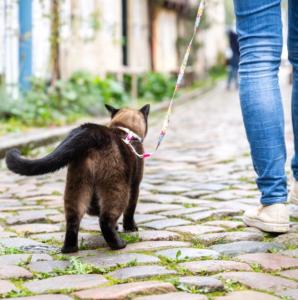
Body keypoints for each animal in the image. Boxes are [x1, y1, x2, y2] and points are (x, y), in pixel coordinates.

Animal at [6, 104, 151, 252]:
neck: (125, 129)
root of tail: (94, 133)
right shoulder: (135, 185)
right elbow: (129, 211)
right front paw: (131, 229)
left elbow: (94, 209)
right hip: (118, 187)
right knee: (105, 220)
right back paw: (119, 245)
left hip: (77, 185)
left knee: (73, 220)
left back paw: (69, 249)